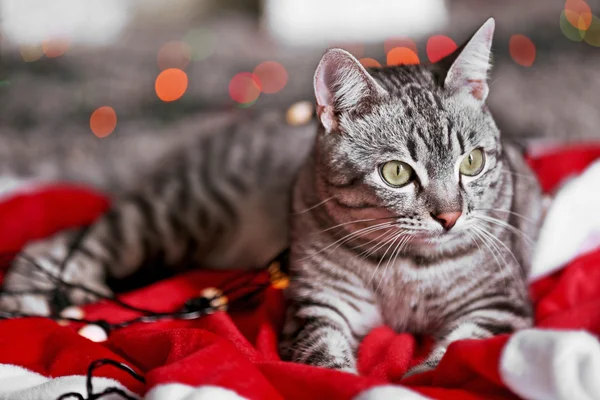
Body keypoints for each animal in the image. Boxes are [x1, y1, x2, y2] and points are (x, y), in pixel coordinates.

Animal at [0, 17, 544, 376]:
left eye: (471, 163)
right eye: (396, 173)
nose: (450, 217)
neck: (407, 270)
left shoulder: (496, 307)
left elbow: (449, 356)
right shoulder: (320, 305)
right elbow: (324, 360)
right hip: (177, 216)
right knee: (67, 241)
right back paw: (33, 299)